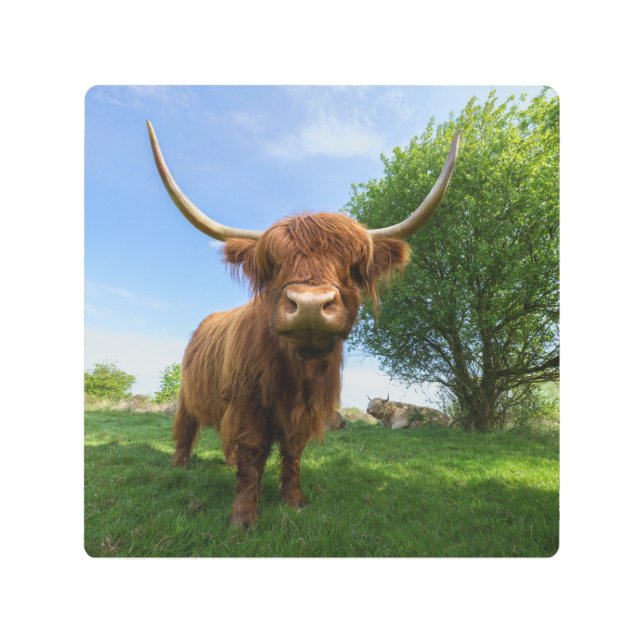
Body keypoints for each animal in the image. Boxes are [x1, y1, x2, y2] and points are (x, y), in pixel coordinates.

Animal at [146, 120, 459, 527]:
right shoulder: (247, 404)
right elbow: (251, 452)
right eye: (274, 263)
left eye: (351, 267)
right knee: (186, 429)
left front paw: (293, 500)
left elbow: (292, 452)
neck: (296, 372)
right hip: (188, 395)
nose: (310, 305)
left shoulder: (305, 410)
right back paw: (179, 466)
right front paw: (243, 516)